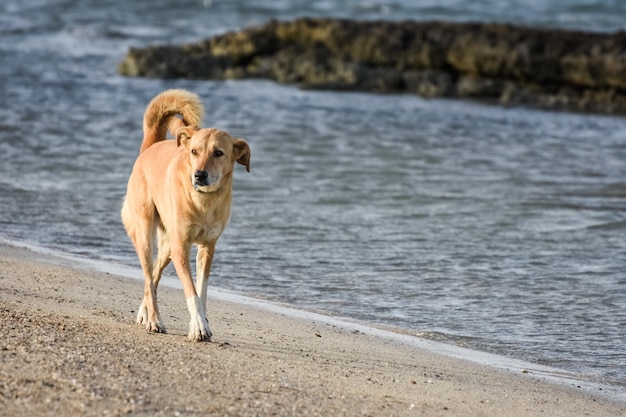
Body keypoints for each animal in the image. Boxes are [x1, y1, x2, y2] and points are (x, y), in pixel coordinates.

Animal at [120, 89, 250, 340]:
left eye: (218, 153)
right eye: (194, 152)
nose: (199, 175)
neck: (203, 201)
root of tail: (151, 146)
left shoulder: (207, 248)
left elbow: (201, 291)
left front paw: (200, 322)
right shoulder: (181, 247)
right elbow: (191, 292)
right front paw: (199, 327)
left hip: (167, 246)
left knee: (154, 275)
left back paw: (144, 313)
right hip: (145, 233)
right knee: (148, 277)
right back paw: (154, 320)